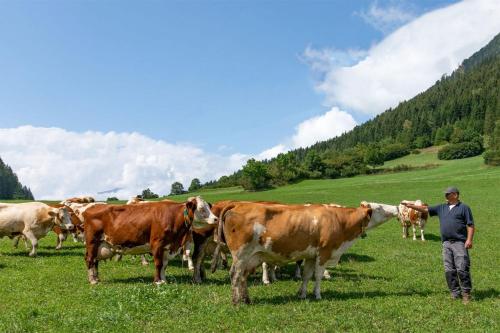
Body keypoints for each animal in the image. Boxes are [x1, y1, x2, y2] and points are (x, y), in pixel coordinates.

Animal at [83, 196, 217, 284]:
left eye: (208, 207)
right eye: (201, 208)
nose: (216, 219)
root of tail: (91, 207)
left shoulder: (167, 246)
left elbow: (164, 265)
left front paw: (164, 280)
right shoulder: (157, 243)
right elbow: (158, 263)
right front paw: (157, 281)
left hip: (99, 244)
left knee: (94, 261)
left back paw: (96, 278)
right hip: (92, 242)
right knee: (89, 259)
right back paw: (92, 280)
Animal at [219, 200, 398, 304]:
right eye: (379, 207)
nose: (396, 208)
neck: (339, 220)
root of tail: (238, 204)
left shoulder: (311, 255)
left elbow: (306, 275)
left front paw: (303, 294)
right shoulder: (324, 253)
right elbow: (317, 276)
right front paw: (317, 295)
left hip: (251, 257)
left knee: (243, 277)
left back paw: (246, 299)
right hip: (241, 255)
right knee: (235, 275)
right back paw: (236, 301)